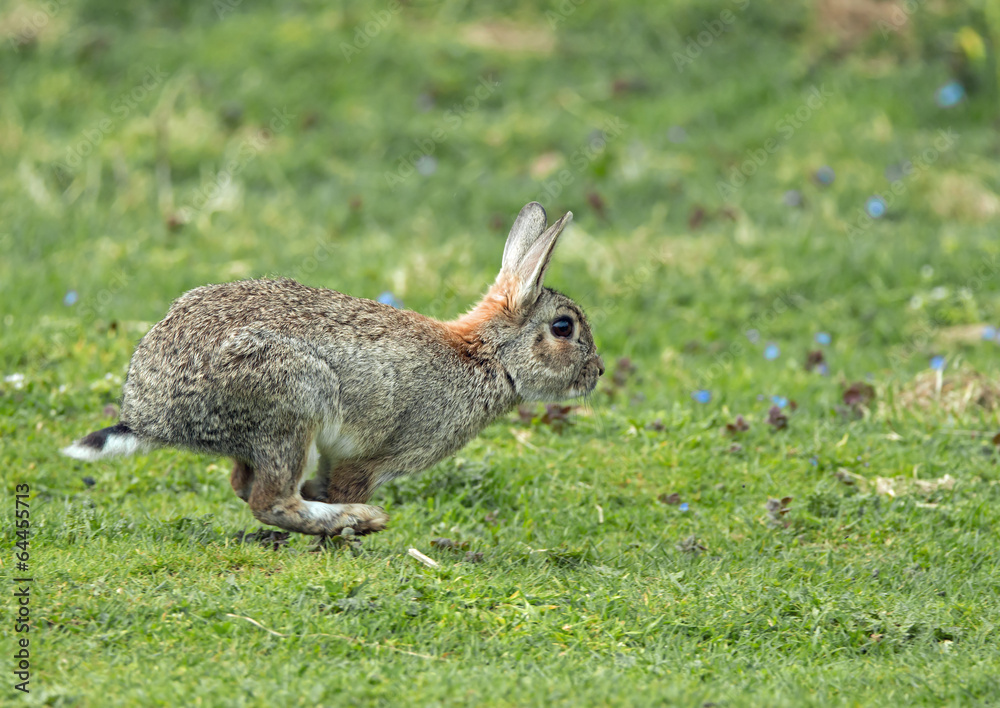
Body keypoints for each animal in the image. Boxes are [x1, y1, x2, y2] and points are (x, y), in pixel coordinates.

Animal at [62, 202, 604, 536]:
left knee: (246, 485)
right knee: (271, 501)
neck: (487, 357)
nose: (597, 371)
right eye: (563, 327)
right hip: (292, 403)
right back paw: (360, 520)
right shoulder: (374, 458)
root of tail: (149, 416)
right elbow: (343, 483)